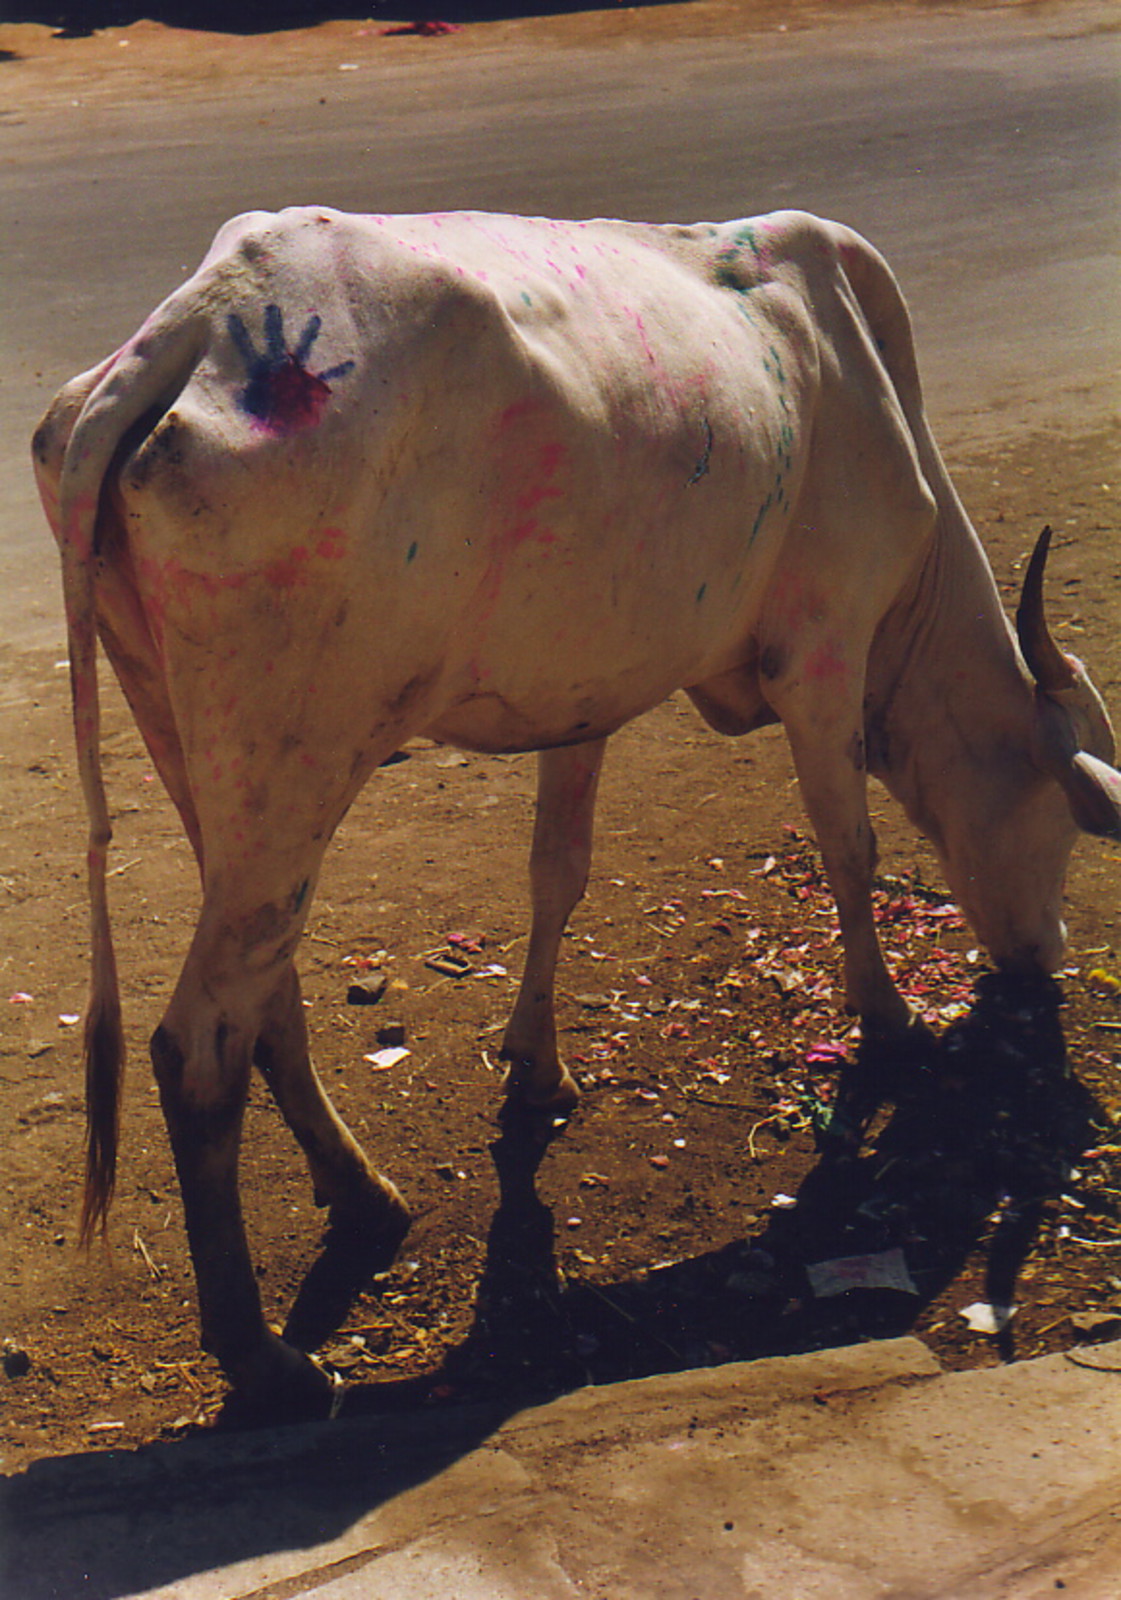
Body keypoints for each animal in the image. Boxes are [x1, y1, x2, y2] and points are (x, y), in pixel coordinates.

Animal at [30, 203, 1113, 1414]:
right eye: (1061, 818)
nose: (1044, 957)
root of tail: (201, 319)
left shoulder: (582, 697)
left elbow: (559, 870)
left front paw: (536, 1063)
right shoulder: (822, 651)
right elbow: (849, 847)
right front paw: (887, 1023)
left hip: (194, 744)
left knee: (266, 990)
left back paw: (361, 1195)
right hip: (296, 759)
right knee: (198, 1046)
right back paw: (263, 1356)